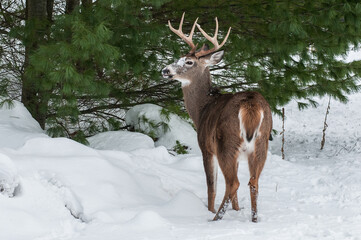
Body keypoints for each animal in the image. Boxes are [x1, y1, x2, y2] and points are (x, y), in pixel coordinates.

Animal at [162, 13, 272, 223]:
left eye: (189, 62)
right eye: (178, 58)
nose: (165, 70)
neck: (201, 110)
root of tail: (251, 104)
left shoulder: (206, 147)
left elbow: (211, 185)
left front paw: (210, 210)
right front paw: (236, 210)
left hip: (225, 142)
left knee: (233, 183)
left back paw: (215, 218)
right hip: (261, 144)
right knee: (253, 181)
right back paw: (254, 219)